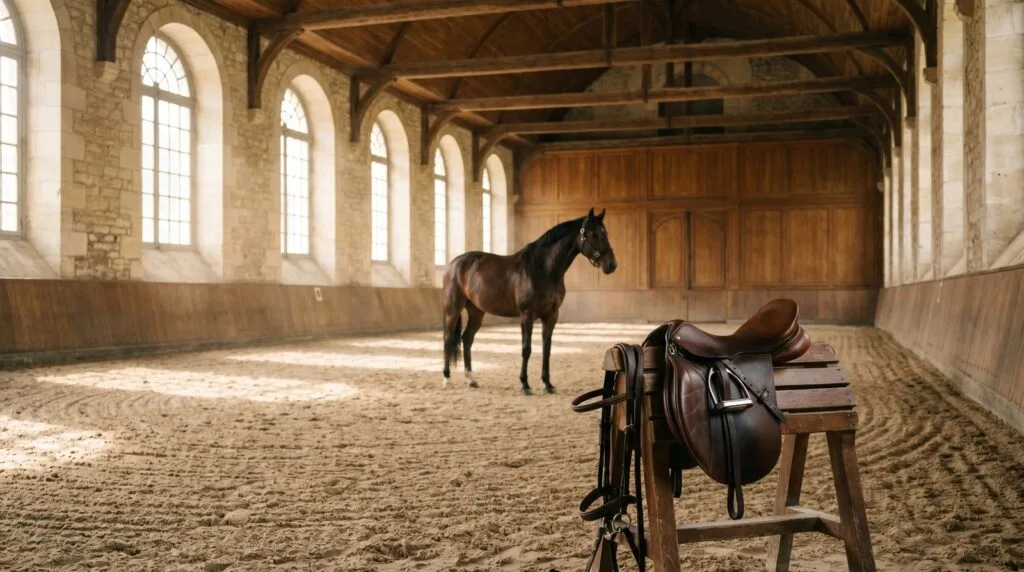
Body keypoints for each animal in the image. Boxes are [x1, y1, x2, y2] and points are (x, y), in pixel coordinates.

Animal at [441, 208, 618, 395]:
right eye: (591, 233)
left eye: (605, 233)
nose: (612, 264)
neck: (543, 269)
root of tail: (453, 264)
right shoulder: (527, 314)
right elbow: (526, 349)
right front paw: (525, 384)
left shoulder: (551, 315)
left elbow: (547, 349)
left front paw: (548, 384)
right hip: (452, 309)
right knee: (447, 339)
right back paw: (447, 379)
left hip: (476, 311)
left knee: (467, 338)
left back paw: (471, 379)